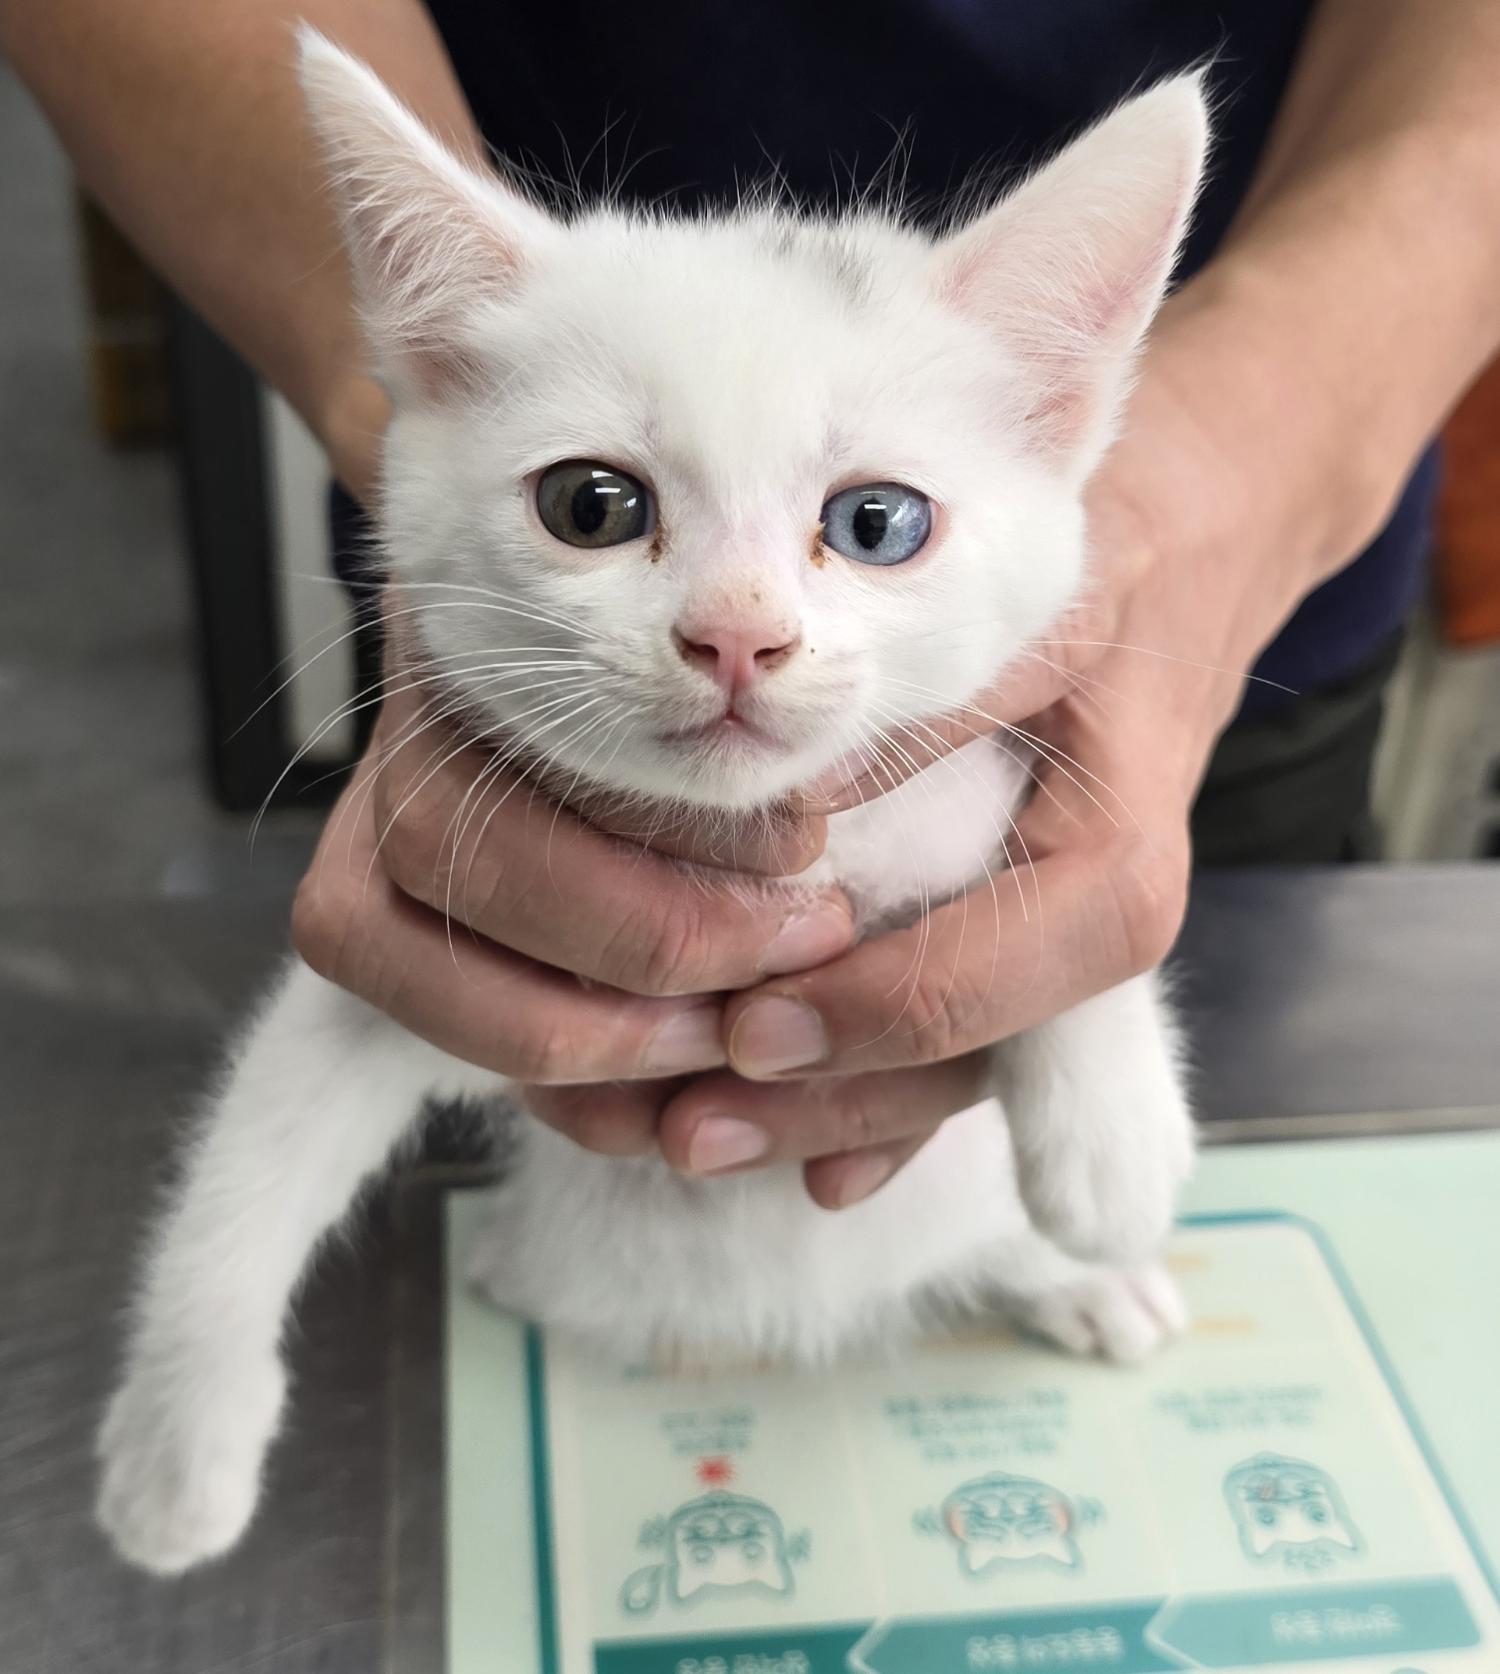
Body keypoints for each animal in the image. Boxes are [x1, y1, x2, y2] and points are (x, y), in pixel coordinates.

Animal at [96, 32, 1205, 1573]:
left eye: (877, 523)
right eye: (593, 505)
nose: (737, 636)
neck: (772, 856)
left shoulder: (970, 789)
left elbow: (1064, 924)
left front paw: (1116, 1143)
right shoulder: (402, 983)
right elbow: (244, 1171)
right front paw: (175, 1451)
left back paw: (1076, 1271)